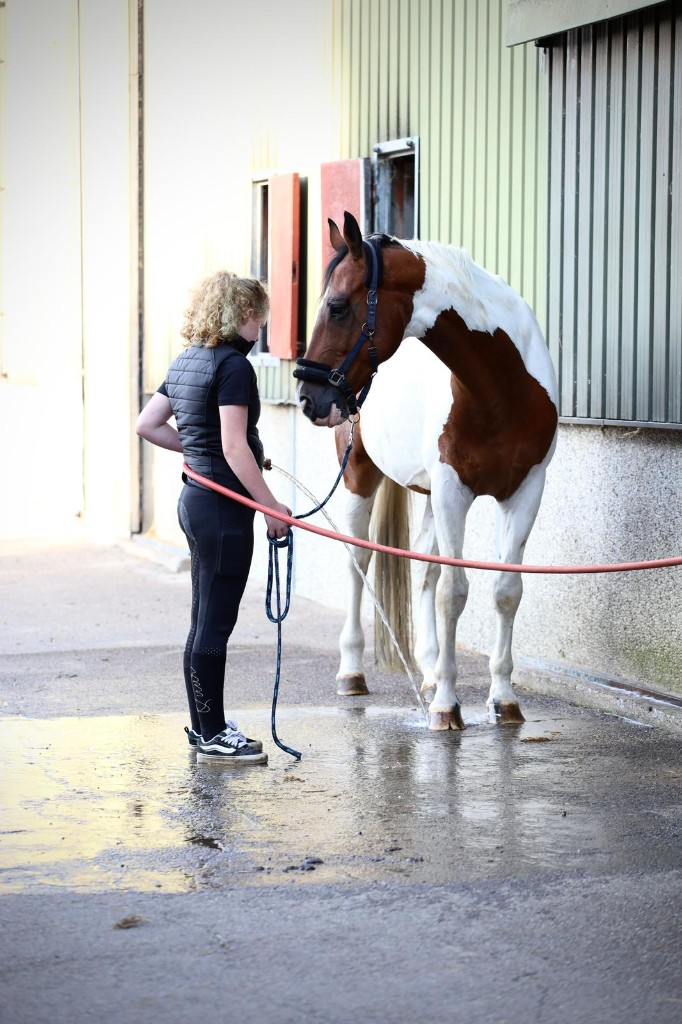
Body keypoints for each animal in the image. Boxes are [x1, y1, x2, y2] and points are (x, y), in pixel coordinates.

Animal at [294, 211, 558, 730]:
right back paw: (353, 672)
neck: (502, 389)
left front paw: (503, 700)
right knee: (359, 563)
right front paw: (447, 707)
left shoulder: (524, 491)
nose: (310, 400)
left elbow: (505, 591)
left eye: (337, 306)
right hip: (360, 478)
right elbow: (453, 593)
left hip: (431, 496)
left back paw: (433, 672)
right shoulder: (454, 490)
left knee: (423, 570)